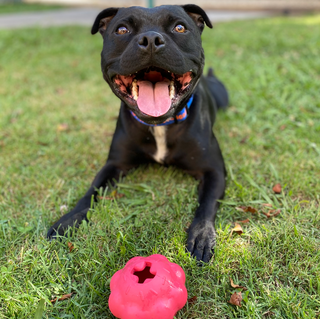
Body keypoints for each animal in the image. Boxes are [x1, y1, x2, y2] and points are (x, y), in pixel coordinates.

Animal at [47, 5, 228, 264]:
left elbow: (207, 204)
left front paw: (202, 236)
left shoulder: (213, 171)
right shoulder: (114, 165)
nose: (151, 39)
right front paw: (68, 221)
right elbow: (91, 193)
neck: (160, 125)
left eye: (179, 27)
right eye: (122, 30)